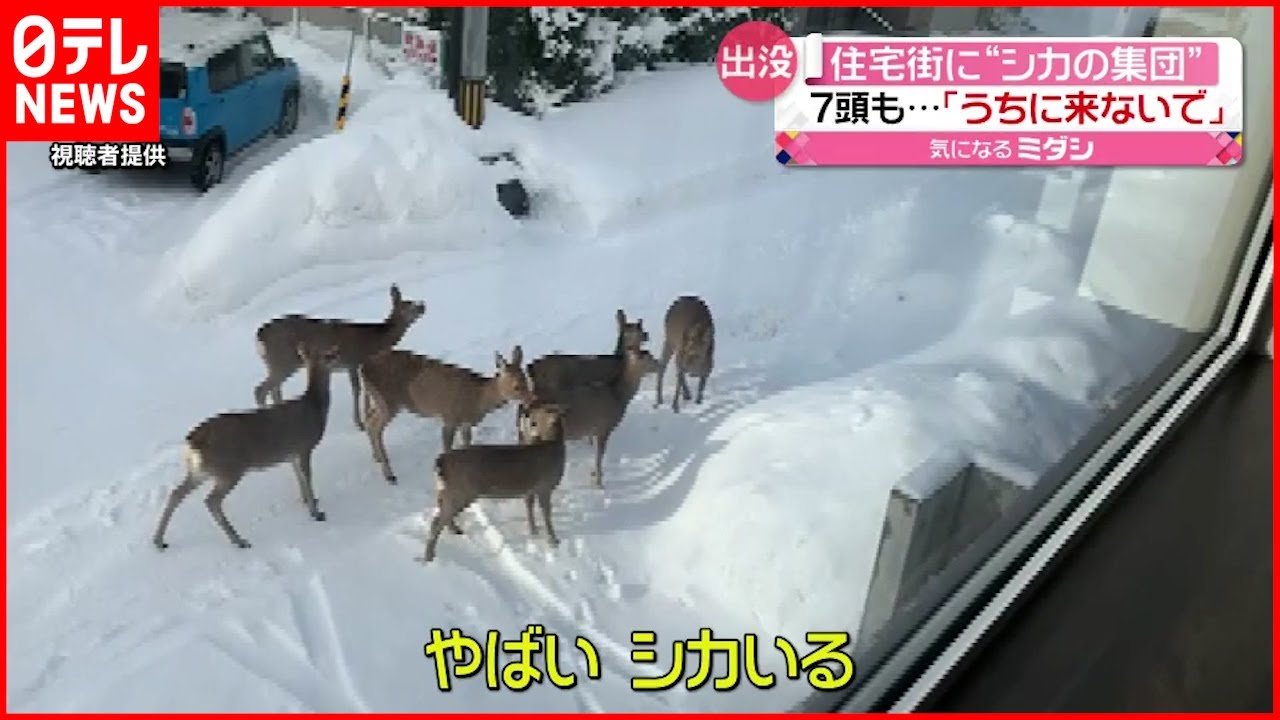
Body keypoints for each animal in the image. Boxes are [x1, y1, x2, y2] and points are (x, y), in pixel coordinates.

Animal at [153, 343, 341, 551]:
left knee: (176, 493)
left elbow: (299, 477)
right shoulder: (304, 446)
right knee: (211, 501)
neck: (314, 407)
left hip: (200, 471)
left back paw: (159, 541)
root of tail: (193, 442)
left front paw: (307, 501)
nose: (338, 359)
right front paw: (316, 513)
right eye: (329, 357)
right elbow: (307, 477)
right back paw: (239, 540)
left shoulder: (291, 454)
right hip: (230, 469)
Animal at [253, 283, 426, 431]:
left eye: (411, 301)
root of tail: (259, 337)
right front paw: (360, 423)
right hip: (283, 361)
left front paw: (366, 415)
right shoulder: (353, 361)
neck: (375, 340)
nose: (423, 305)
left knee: (273, 389)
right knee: (261, 389)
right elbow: (357, 390)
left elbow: (363, 390)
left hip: (278, 364)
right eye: (408, 305)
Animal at [359, 345, 533, 485]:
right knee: (374, 426)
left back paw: (377, 457)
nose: (532, 401)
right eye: (516, 386)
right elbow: (447, 448)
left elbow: (467, 443)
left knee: (368, 420)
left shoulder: (465, 422)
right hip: (388, 401)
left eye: (526, 379)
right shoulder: (449, 417)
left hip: (378, 400)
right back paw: (390, 475)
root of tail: (362, 368)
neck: (478, 399)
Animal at [421, 402, 568, 564]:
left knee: (440, 512)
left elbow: (529, 507)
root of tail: (440, 462)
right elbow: (546, 513)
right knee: (437, 520)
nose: (525, 411)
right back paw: (429, 557)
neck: (551, 447)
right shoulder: (545, 486)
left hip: (447, 490)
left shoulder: (530, 489)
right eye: (542, 411)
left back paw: (454, 531)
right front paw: (553, 541)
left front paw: (534, 531)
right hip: (461, 491)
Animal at [518, 345, 659, 488]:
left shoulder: (594, 430)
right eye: (648, 357)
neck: (618, 396)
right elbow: (599, 455)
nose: (658, 364)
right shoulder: (604, 427)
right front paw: (599, 482)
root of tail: (526, 411)